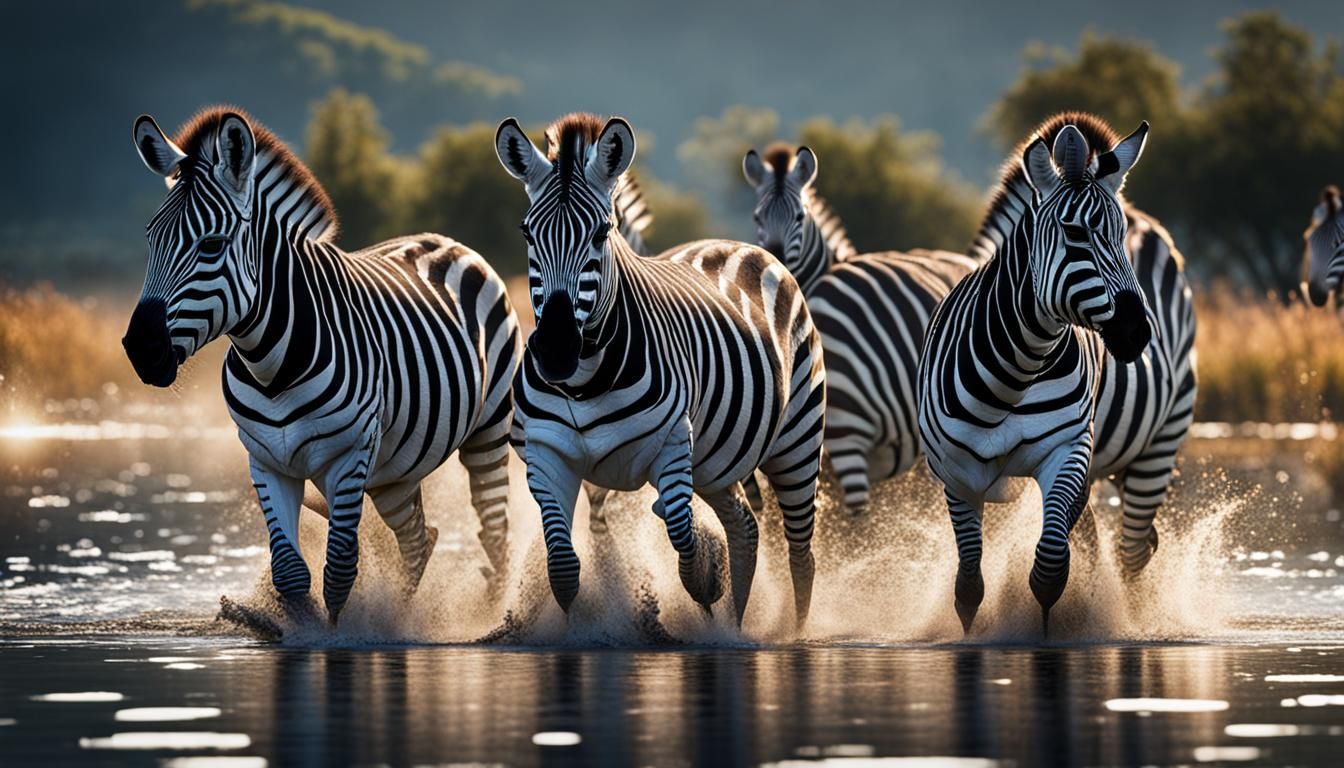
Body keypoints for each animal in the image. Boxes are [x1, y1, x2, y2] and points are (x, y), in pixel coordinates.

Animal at [123, 107, 522, 624]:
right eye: (151, 239)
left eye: (211, 245)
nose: (140, 348)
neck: (273, 367)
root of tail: (447, 243)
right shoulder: (266, 461)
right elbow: (291, 573)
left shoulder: (347, 458)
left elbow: (338, 571)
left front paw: (341, 634)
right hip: (394, 469)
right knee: (420, 539)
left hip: (488, 431)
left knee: (494, 535)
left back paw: (492, 620)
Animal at [494, 113, 826, 627]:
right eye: (528, 234)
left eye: (601, 233)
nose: (556, 351)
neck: (586, 381)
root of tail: (744, 247)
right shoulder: (547, 456)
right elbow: (564, 567)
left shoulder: (671, 447)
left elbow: (686, 546)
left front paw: (708, 603)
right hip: (715, 461)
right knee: (745, 527)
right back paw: (738, 624)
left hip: (797, 441)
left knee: (800, 552)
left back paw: (790, 631)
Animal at [917, 113, 1197, 635]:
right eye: (1074, 233)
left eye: (1118, 236)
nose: (1136, 332)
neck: (1010, 375)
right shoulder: (956, 474)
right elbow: (969, 588)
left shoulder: (1066, 450)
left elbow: (1049, 571)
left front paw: (1048, 634)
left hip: (1160, 442)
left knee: (1132, 552)